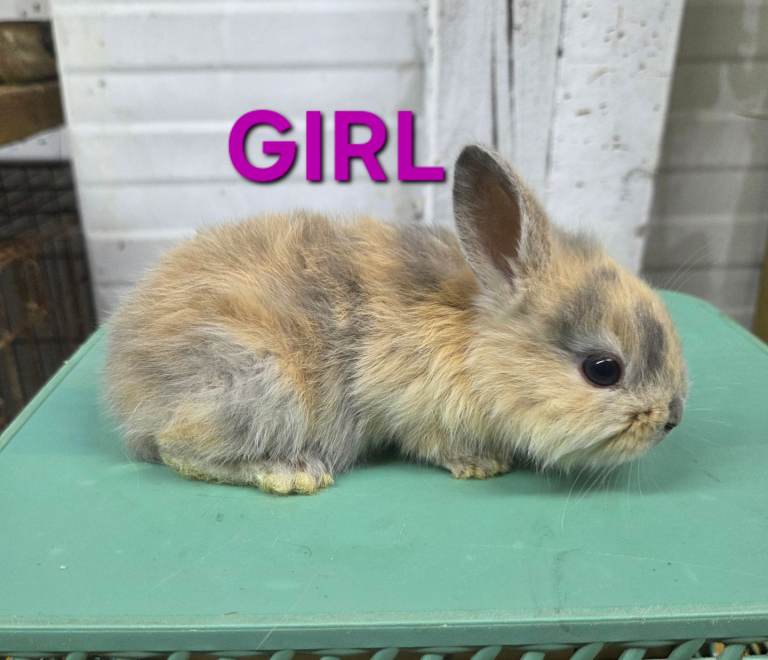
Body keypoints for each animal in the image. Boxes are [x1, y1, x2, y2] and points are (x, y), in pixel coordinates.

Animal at [105, 144, 687, 495]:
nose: (672, 420)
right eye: (602, 370)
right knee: (176, 449)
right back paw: (291, 473)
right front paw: (482, 466)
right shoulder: (415, 411)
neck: (474, 343)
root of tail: (125, 385)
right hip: (258, 386)